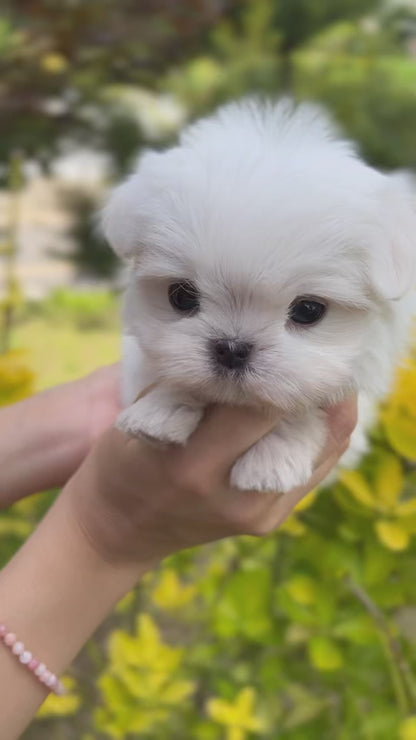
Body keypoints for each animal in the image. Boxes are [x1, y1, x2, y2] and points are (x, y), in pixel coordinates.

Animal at [101, 98, 416, 492]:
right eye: (181, 296)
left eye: (309, 310)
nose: (231, 348)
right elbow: (175, 376)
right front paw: (158, 413)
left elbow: (306, 405)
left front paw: (271, 464)